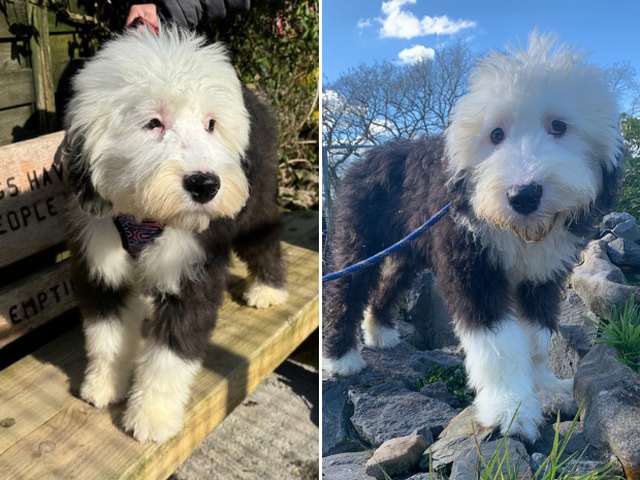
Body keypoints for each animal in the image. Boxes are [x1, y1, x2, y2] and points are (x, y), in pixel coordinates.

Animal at [62, 25, 288, 442]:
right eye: (153, 122)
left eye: (211, 124)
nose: (204, 185)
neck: (146, 217)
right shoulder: (100, 263)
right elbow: (106, 336)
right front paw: (104, 386)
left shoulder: (193, 264)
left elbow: (172, 352)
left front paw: (151, 417)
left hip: (256, 199)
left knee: (263, 239)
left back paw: (268, 290)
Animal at [322, 31, 624, 442]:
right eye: (496, 135)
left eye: (559, 126)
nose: (523, 195)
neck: (518, 232)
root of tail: (368, 155)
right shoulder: (471, 265)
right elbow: (496, 343)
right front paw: (509, 410)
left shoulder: (544, 274)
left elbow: (537, 338)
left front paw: (546, 388)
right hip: (360, 239)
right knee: (346, 290)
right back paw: (342, 358)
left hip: (407, 249)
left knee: (389, 284)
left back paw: (380, 332)